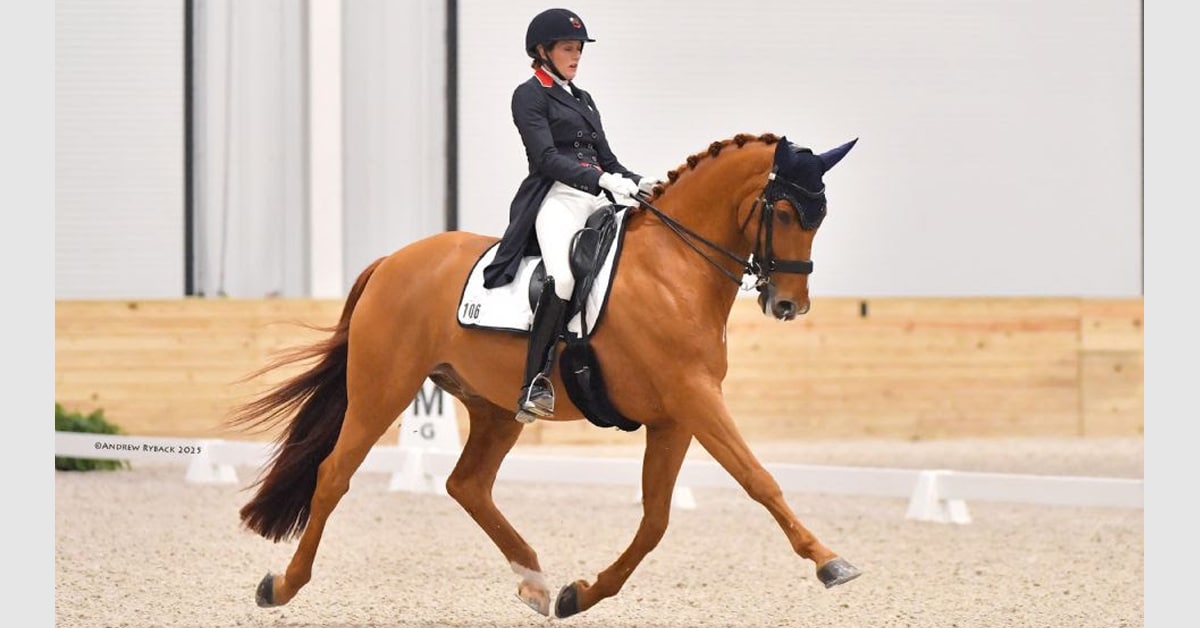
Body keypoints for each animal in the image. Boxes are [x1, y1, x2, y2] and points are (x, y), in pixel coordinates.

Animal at [228, 131, 861, 619]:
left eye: (821, 217)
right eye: (785, 213)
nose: (789, 305)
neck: (674, 269)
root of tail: (393, 262)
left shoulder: (675, 417)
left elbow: (656, 520)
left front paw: (580, 595)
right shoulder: (695, 400)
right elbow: (759, 479)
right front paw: (830, 560)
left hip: (494, 407)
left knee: (467, 485)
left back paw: (534, 580)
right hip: (382, 390)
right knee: (334, 474)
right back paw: (281, 586)